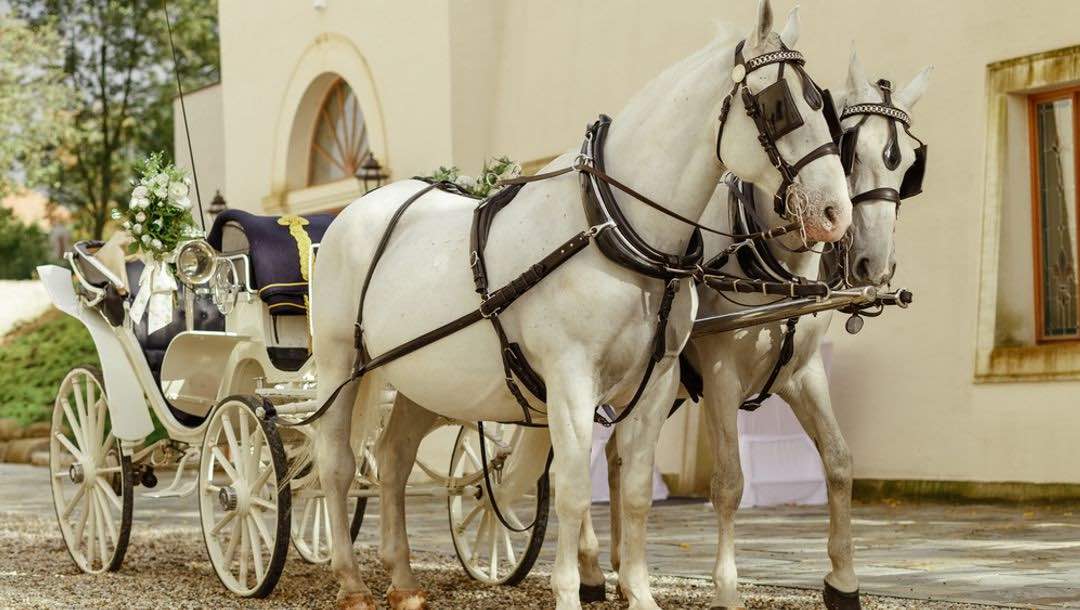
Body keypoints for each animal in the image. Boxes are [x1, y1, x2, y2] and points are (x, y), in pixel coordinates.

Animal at [309, 1, 852, 608]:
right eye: (779, 105)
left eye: (824, 105)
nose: (836, 213)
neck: (614, 224)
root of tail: (356, 210)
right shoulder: (573, 378)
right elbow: (570, 489)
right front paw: (572, 590)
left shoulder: (658, 379)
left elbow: (633, 489)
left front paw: (637, 591)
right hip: (340, 365)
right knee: (336, 466)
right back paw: (351, 580)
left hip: (420, 378)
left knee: (394, 458)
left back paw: (402, 580)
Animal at [603, 51, 933, 610]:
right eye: (851, 148)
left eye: (909, 165)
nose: (875, 265)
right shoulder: (719, 378)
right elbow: (729, 483)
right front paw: (727, 590)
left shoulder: (803, 375)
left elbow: (839, 462)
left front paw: (843, 580)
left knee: (614, 457)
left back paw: (608, 569)